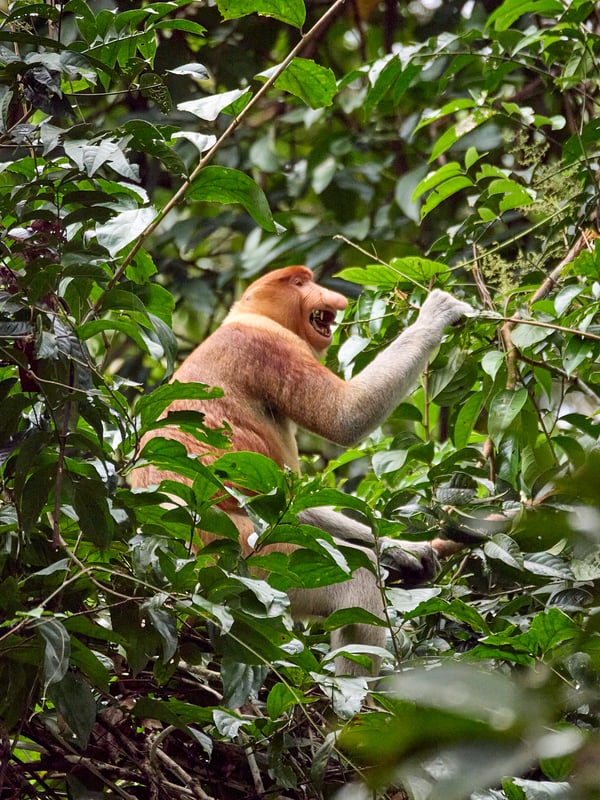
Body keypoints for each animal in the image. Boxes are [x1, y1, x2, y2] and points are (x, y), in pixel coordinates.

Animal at [131, 266, 472, 675]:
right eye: (299, 283)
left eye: (309, 279)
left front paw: (405, 550)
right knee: (357, 580)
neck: (248, 315)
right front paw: (437, 312)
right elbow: (344, 417)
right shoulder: (270, 346)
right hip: (242, 558)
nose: (332, 297)